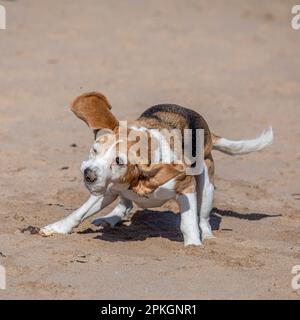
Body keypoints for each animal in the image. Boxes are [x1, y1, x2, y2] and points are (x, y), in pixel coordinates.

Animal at [39, 91, 274, 246]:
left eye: (119, 161)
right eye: (94, 150)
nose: (88, 174)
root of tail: (206, 129)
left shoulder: (186, 189)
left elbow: (188, 222)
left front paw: (193, 244)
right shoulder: (107, 188)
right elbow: (79, 213)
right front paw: (58, 228)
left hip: (206, 186)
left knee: (203, 217)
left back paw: (206, 236)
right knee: (124, 205)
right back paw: (111, 217)